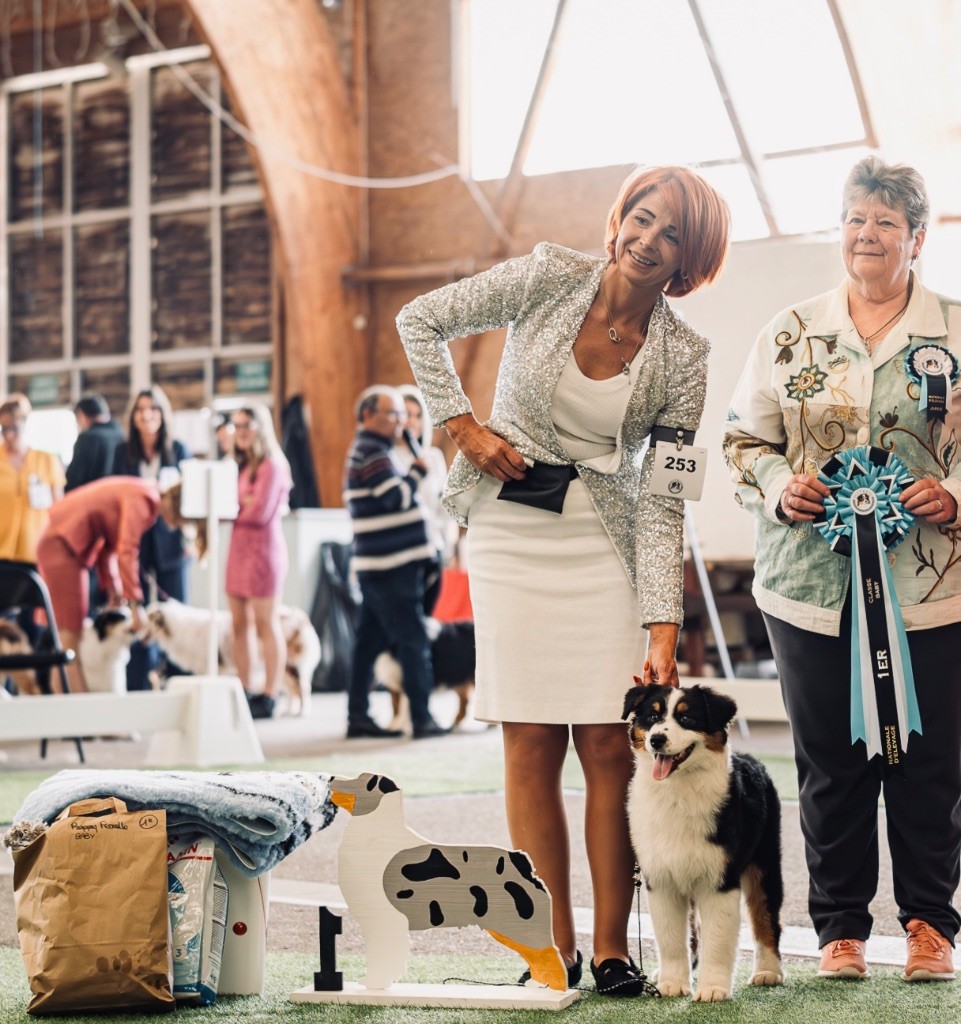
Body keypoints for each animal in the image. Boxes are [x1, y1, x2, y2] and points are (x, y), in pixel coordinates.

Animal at [141, 598, 321, 716]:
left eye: (147, 620)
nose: (139, 636)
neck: (177, 629)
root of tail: (303, 618)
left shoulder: (209, 666)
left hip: (291, 665)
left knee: (303, 688)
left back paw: (302, 712)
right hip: (283, 669)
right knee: (292, 690)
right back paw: (289, 710)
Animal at [328, 772, 566, 991]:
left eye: (361, 778)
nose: (330, 777)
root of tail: (521, 860)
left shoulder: (384, 920)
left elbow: (383, 957)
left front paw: (374, 983)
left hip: (522, 925)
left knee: (550, 953)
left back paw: (556, 989)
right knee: (537, 957)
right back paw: (539, 985)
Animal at [622, 682, 784, 1002]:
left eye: (687, 718)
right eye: (652, 716)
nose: (657, 739)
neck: (677, 793)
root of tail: (752, 759)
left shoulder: (720, 879)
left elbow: (718, 940)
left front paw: (713, 989)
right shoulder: (661, 879)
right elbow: (671, 938)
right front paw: (672, 983)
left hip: (765, 861)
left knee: (766, 917)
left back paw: (768, 972)